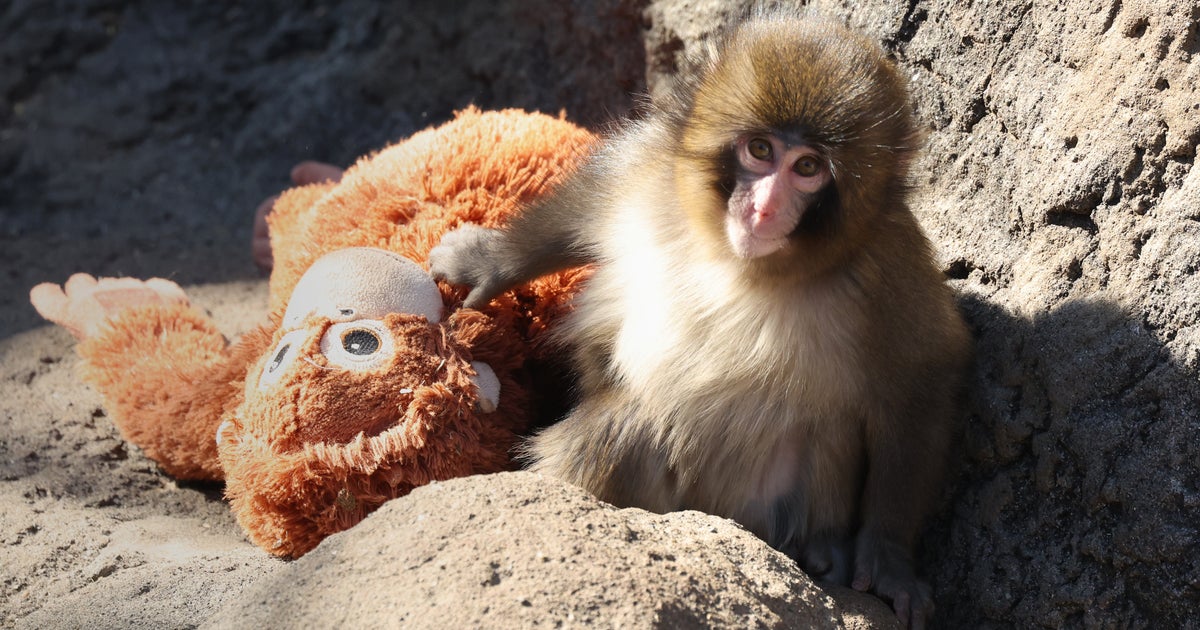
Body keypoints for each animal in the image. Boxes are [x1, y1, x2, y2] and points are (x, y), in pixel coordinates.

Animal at [429, 12, 971, 629]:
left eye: (807, 168)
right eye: (759, 149)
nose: (763, 208)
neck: (740, 263)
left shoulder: (888, 268)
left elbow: (923, 378)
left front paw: (889, 559)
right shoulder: (651, 171)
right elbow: (587, 202)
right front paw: (489, 261)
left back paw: (822, 549)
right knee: (622, 430)